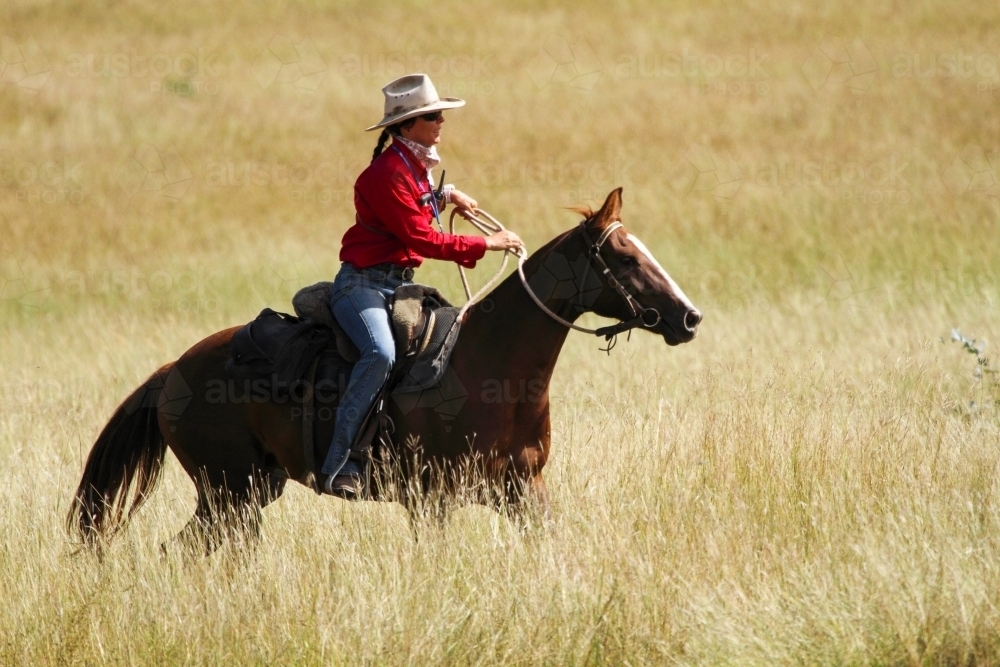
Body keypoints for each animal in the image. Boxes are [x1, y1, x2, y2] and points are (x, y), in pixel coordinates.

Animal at [67, 188, 701, 554]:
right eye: (624, 257)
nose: (689, 317)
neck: (492, 371)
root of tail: (172, 370)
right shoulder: (432, 501)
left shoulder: (524, 489)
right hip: (228, 492)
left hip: (249, 492)